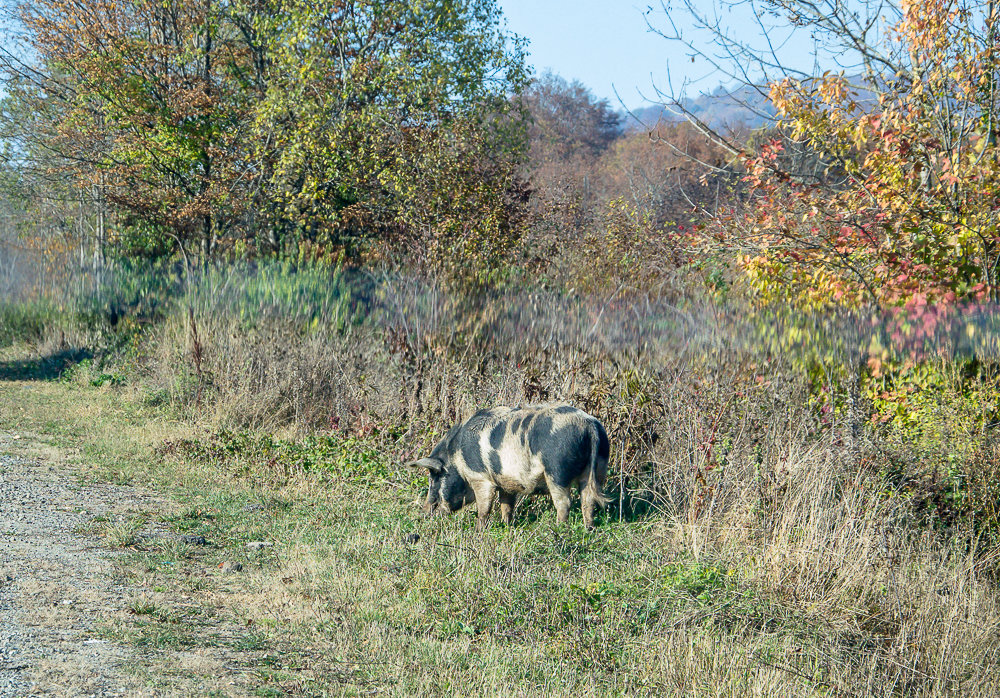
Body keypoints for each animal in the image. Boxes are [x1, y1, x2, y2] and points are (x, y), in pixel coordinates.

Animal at [406, 402, 608, 528]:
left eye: (435, 479)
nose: (423, 513)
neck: (457, 458)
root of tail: (589, 426)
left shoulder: (481, 478)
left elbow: (484, 508)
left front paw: (479, 530)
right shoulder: (506, 482)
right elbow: (506, 505)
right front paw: (506, 525)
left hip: (557, 471)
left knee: (564, 503)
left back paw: (559, 529)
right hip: (597, 468)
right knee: (588, 500)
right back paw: (588, 528)